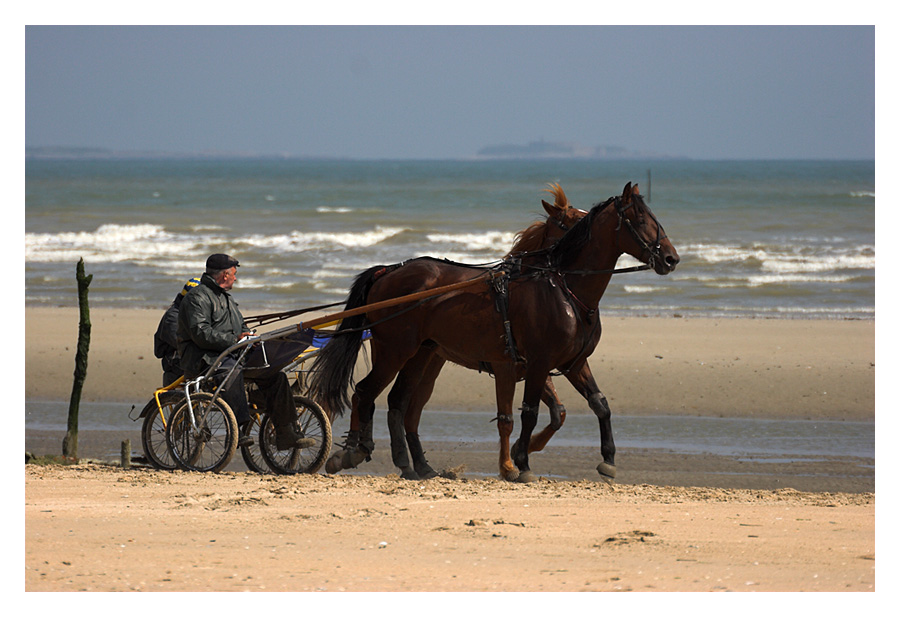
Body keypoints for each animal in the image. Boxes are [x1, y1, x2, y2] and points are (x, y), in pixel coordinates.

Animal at [310, 183, 676, 482]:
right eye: (641, 219)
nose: (671, 258)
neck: (561, 287)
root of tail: (388, 271)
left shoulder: (570, 363)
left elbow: (595, 405)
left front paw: (607, 459)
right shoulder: (535, 364)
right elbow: (526, 413)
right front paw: (520, 462)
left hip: (422, 354)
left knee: (399, 402)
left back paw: (411, 464)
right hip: (395, 350)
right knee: (364, 392)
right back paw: (353, 451)